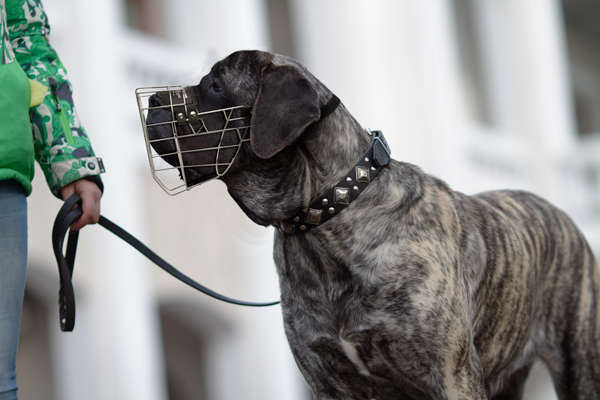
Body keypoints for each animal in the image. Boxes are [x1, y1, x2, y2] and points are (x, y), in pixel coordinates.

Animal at [145, 50, 600, 400]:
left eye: (216, 86)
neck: (326, 219)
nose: (152, 102)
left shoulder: (451, 376)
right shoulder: (326, 379)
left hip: (579, 362)